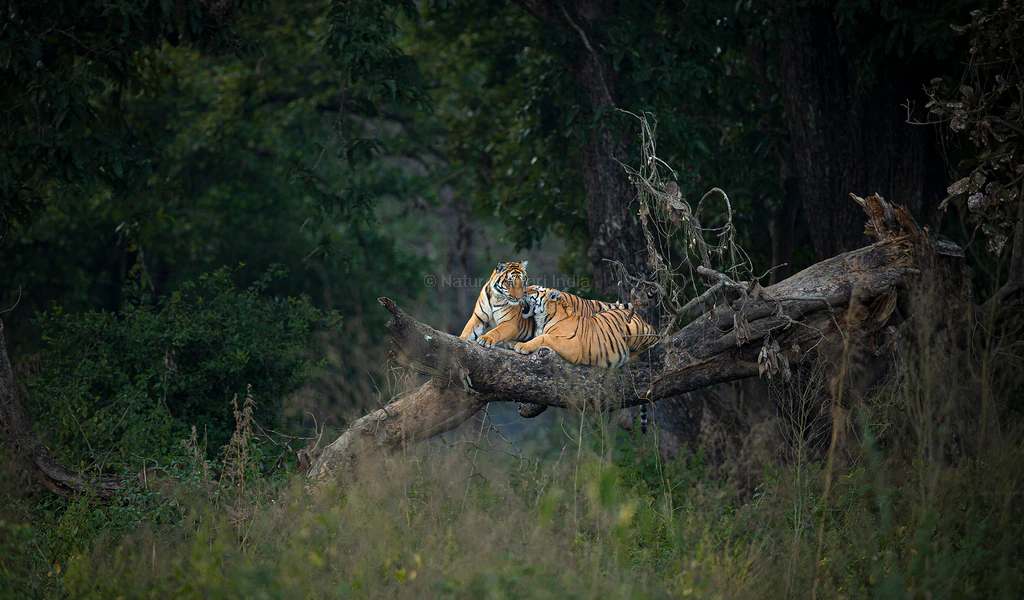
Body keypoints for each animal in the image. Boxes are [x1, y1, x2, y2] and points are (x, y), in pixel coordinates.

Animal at [512, 286, 659, 368]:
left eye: (535, 289)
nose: (522, 290)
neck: (542, 320)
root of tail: (636, 314)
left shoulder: (572, 344)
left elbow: (544, 338)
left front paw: (522, 346)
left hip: (636, 329)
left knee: (655, 340)